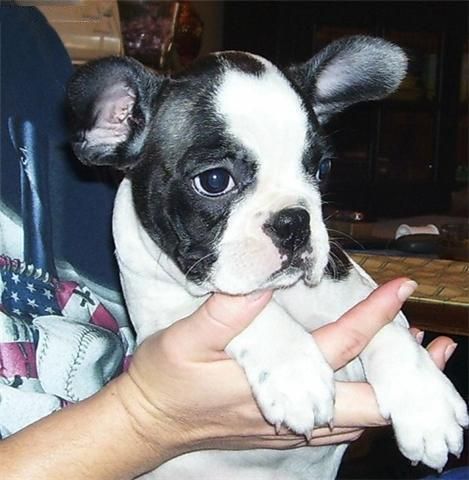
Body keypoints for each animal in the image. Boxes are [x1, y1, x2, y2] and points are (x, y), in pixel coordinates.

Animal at [67, 35, 466, 478]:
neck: (281, 293)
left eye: (322, 168)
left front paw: (427, 406)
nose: (294, 221)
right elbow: (248, 312)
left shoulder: (360, 293)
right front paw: (295, 372)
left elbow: (384, 325)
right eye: (214, 180)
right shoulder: (167, 316)